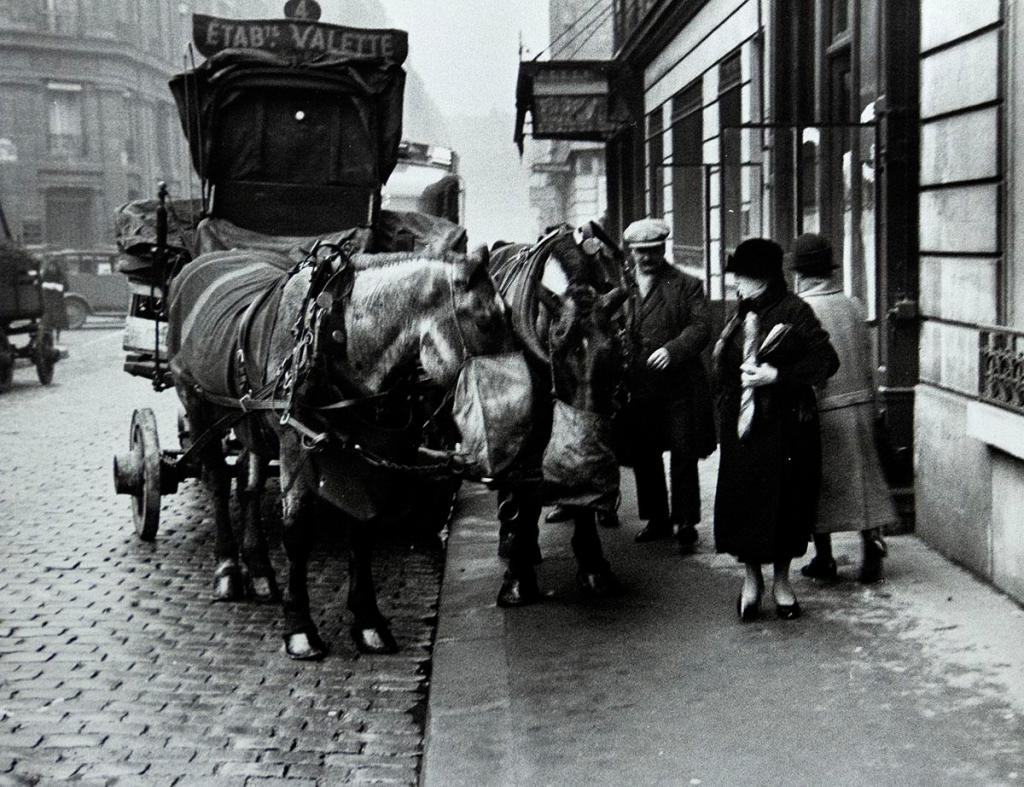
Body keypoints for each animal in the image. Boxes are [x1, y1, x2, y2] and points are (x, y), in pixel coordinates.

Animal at [166, 243, 512, 654]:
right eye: (487, 321)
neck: (335, 335)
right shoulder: (294, 444)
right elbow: (297, 532)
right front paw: (299, 627)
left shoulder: (366, 453)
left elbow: (363, 528)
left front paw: (368, 621)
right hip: (195, 402)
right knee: (219, 482)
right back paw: (227, 569)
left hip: (247, 418)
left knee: (247, 485)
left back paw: (261, 572)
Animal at [487, 229, 630, 605]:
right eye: (559, 346)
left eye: (613, 349)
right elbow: (523, 490)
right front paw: (517, 577)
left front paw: (594, 567)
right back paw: (511, 538)